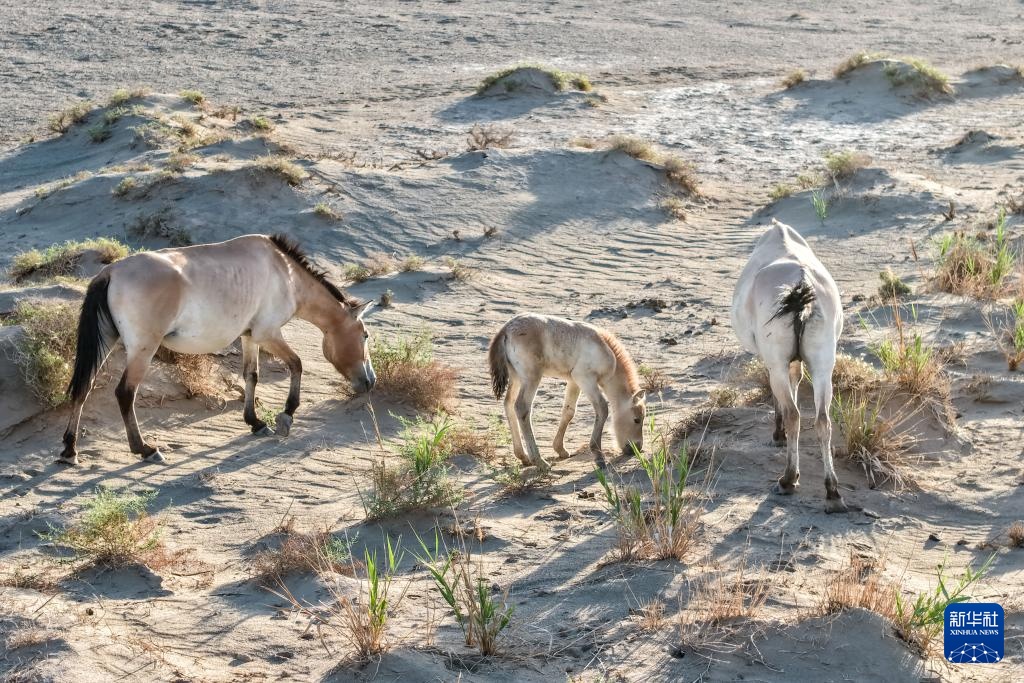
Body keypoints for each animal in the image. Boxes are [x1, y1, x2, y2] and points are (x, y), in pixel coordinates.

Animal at [59, 233, 375, 465]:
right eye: (365, 335)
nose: (369, 382)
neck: (284, 273)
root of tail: (111, 272)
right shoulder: (268, 333)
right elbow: (297, 364)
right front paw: (286, 415)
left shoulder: (250, 337)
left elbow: (251, 376)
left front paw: (255, 422)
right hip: (142, 350)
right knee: (125, 393)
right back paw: (145, 449)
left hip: (107, 340)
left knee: (83, 387)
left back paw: (70, 450)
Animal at [487, 313, 647, 476]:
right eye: (637, 420)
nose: (636, 448)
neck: (608, 351)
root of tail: (506, 329)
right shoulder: (585, 378)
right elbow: (602, 409)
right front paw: (598, 456)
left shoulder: (574, 381)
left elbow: (569, 412)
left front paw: (560, 449)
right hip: (531, 377)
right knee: (521, 407)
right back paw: (539, 461)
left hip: (516, 378)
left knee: (508, 404)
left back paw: (523, 456)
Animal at [731, 218, 848, 513]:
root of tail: (800, 284)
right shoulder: (796, 364)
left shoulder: (775, 364)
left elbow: (782, 401)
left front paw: (778, 434)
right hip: (823, 366)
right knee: (823, 421)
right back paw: (832, 491)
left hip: (778, 364)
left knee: (794, 414)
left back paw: (787, 479)